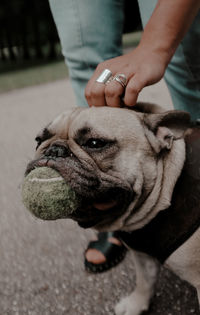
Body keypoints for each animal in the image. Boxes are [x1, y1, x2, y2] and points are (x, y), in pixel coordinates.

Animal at [25, 102, 200, 314]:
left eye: (95, 143)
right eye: (38, 140)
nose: (53, 150)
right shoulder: (142, 255)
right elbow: (145, 281)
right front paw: (136, 304)